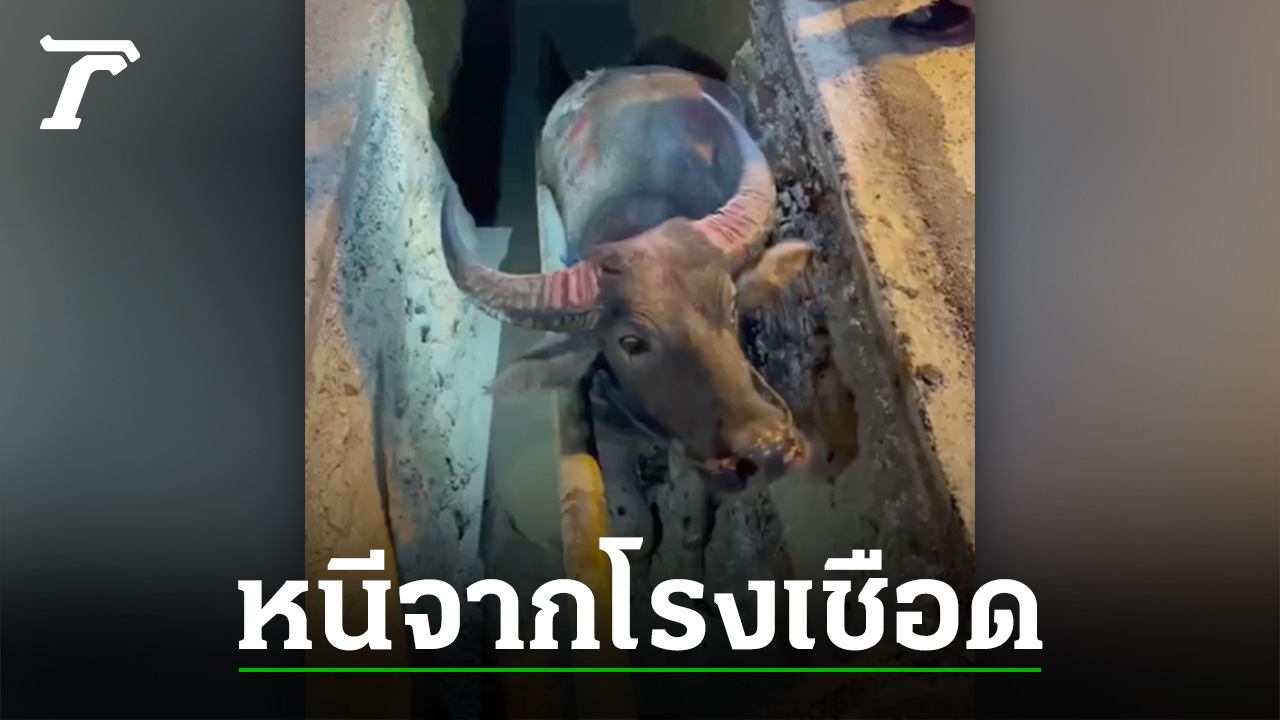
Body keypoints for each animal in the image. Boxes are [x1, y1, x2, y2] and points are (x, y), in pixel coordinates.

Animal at [439, 64, 818, 551]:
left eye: (732, 307)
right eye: (631, 342)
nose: (767, 448)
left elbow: (690, 523)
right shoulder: (604, 422)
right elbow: (633, 523)